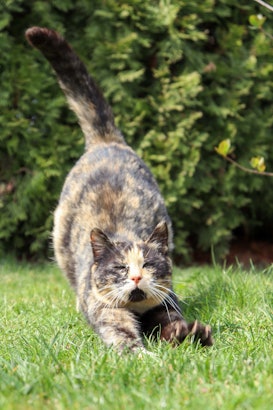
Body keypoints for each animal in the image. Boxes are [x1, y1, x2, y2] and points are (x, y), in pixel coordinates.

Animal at [25, 26, 212, 352]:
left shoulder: (165, 303)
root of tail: (105, 140)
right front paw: (140, 354)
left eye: (147, 264)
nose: (136, 278)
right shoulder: (107, 311)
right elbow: (122, 334)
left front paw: (189, 333)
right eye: (121, 268)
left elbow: (172, 322)